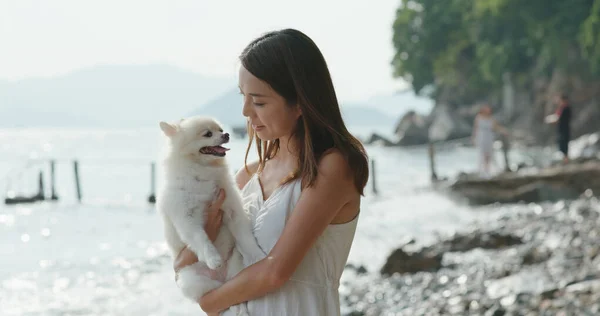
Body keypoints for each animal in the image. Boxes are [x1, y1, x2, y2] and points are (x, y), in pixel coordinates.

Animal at [157, 116, 262, 316]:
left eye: (220, 129)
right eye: (207, 134)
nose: (227, 134)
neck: (202, 171)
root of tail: (222, 279)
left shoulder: (232, 208)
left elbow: (245, 237)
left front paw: (258, 255)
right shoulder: (187, 219)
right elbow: (201, 238)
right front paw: (213, 258)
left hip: (237, 266)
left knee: (235, 295)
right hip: (193, 281)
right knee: (221, 298)